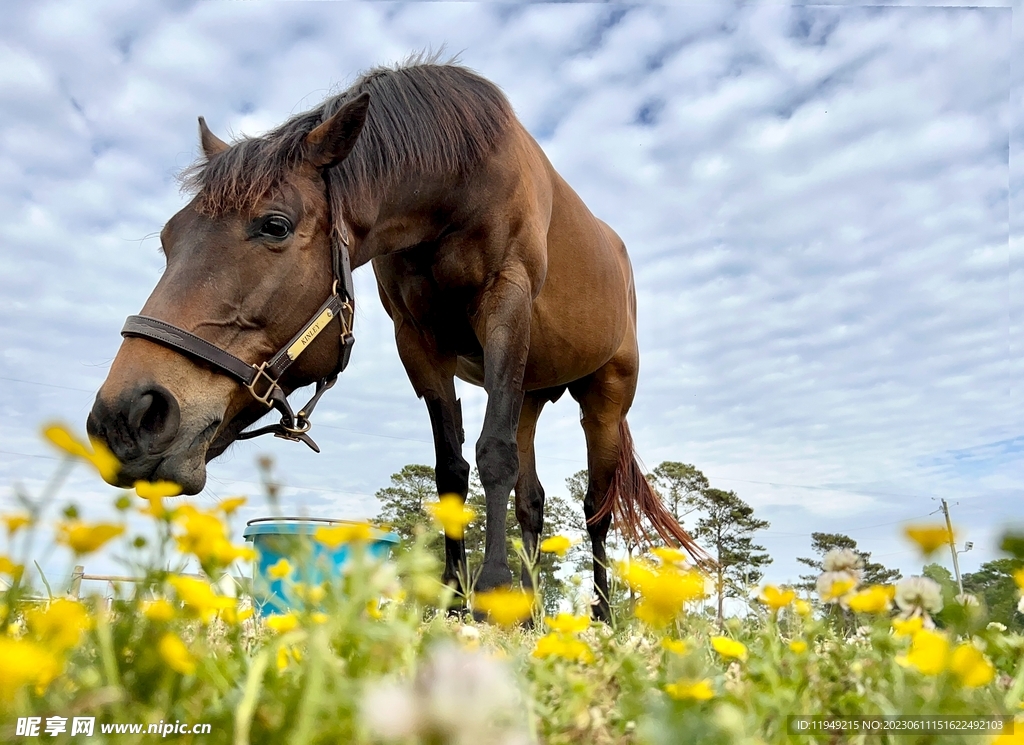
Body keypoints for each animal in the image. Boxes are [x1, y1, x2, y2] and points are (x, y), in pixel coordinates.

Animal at [86, 60, 705, 619]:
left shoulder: (505, 306)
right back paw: (531, 614)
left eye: (275, 225)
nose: (126, 418)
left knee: (597, 507)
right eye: (168, 238)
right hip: (529, 392)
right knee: (533, 500)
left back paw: (602, 616)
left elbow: (492, 455)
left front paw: (491, 591)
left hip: (603, 398)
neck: (461, 181)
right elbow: (451, 470)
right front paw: (453, 601)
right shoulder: (419, 341)